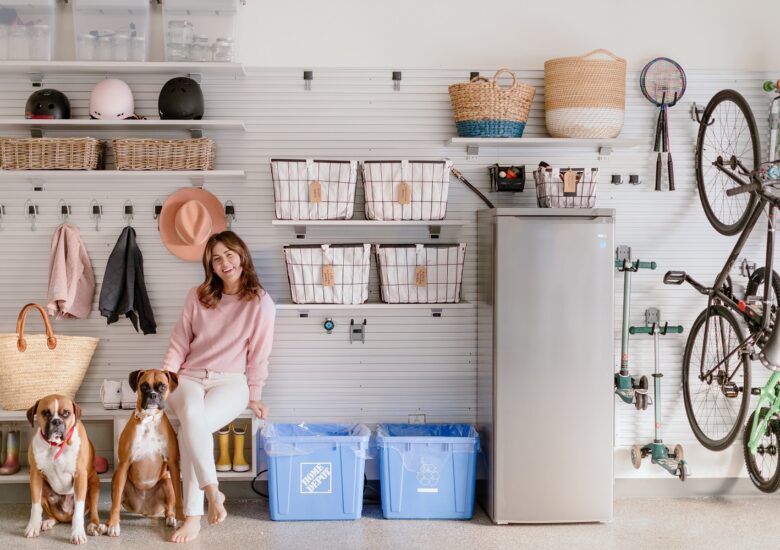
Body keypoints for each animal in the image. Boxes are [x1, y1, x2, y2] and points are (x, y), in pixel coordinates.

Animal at [24, 394, 104, 544]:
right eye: (45, 413)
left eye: (66, 413)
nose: (56, 421)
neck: (56, 445)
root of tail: (66, 516)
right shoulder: (35, 476)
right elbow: (35, 506)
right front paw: (33, 526)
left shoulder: (80, 477)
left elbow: (78, 511)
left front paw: (77, 533)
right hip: (44, 490)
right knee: (54, 516)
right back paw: (48, 521)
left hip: (94, 486)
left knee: (93, 511)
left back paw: (94, 526)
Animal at [104, 368, 184, 536]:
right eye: (144, 386)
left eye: (162, 386)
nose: (153, 395)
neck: (149, 420)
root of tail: (145, 510)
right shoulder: (124, 464)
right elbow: (115, 503)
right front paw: (114, 525)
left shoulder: (173, 465)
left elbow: (180, 499)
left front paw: (182, 519)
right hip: (117, 478)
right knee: (116, 501)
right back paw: (107, 523)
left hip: (167, 481)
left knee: (168, 507)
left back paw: (170, 518)